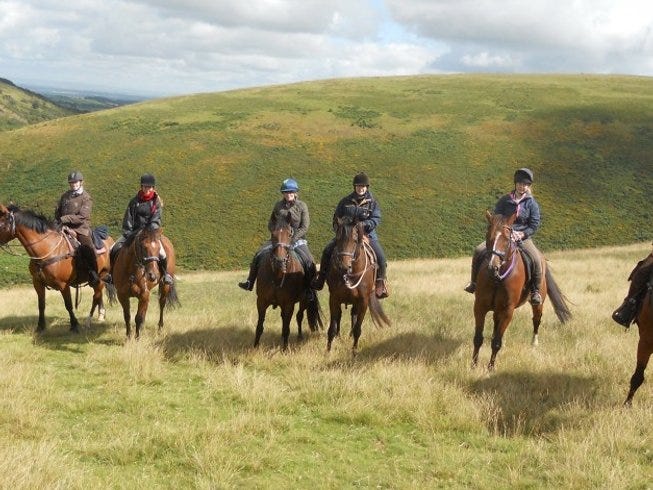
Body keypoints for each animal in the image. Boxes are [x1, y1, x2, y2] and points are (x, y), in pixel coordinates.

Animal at [0, 203, 114, 334]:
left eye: (0, 225)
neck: (47, 249)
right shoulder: (37, 283)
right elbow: (41, 305)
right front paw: (40, 327)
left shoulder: (63, 285)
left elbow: (68, 305)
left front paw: (74, 325)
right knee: (98, 295)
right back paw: (101, 315)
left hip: (102, 275)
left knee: (96, 296)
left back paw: (88, 321)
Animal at [252, 217, 320, 348]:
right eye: (273, 234)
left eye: (290, 234)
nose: (279, 261)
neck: (277, 276)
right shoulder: (261, 301)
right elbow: (259, 326)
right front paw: (255, 347)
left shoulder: (289, 304)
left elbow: (286, 328)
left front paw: (284, 349)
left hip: (304, 300)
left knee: (299, 316)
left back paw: (299, 337)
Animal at [324, 218, 388, 356]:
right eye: (337, 240)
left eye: (354, 240)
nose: (343, 267)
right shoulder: (334, 299)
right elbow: (332, 327)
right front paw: (328, 351)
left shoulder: (363, 301)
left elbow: (358, 328)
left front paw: (354, 352)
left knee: (353, 316)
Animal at [468, 212, 572, 372]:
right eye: (488, 236)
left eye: (507, 238)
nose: (492, 267)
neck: (498, 277)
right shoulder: (480, 307)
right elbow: (478, 338)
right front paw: (473, 366)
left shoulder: (507, 311)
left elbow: (496, 342)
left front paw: (491, 368)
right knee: (496, 324)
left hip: (538, 303)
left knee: (536, 319)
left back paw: (534, 343)